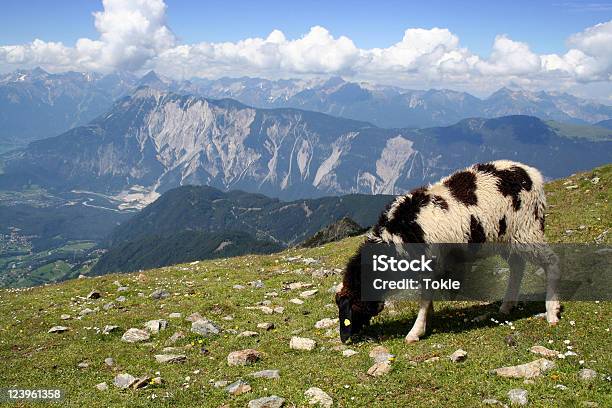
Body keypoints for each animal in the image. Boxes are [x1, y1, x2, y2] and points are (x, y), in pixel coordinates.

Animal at [338, 160, 560, 344]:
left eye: (349, 311)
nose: (344, 339)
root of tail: (531, 173)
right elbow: (427, 299)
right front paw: (428, 321)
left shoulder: (429, 264)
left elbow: (424, 299)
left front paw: (415, 332)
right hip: (506, 238)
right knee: (517, 267)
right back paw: (506, 306)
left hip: (527, 230)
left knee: (551, 262)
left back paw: (552, 312)